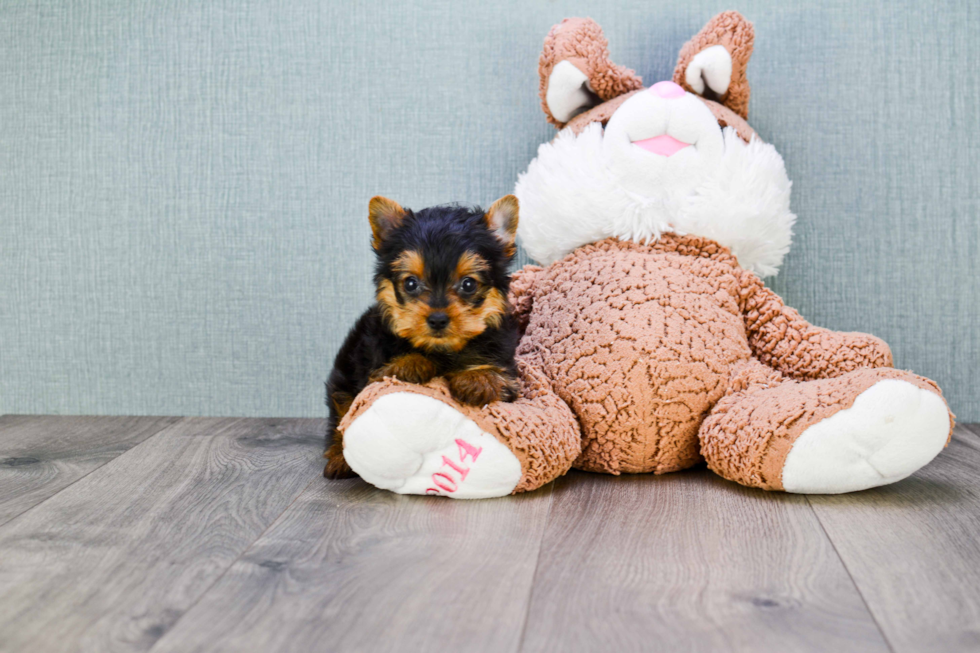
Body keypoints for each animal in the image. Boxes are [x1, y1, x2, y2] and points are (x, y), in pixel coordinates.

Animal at [322, 194, 520, 478]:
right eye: (410, 283)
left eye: (468, 284)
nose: (437, 319)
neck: (442, 350)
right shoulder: (374, 370)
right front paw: (411, 363)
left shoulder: (508, 371)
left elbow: (493, 371)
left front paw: (477, 378)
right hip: (344, 378)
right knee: (342, 412)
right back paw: (339, 457)